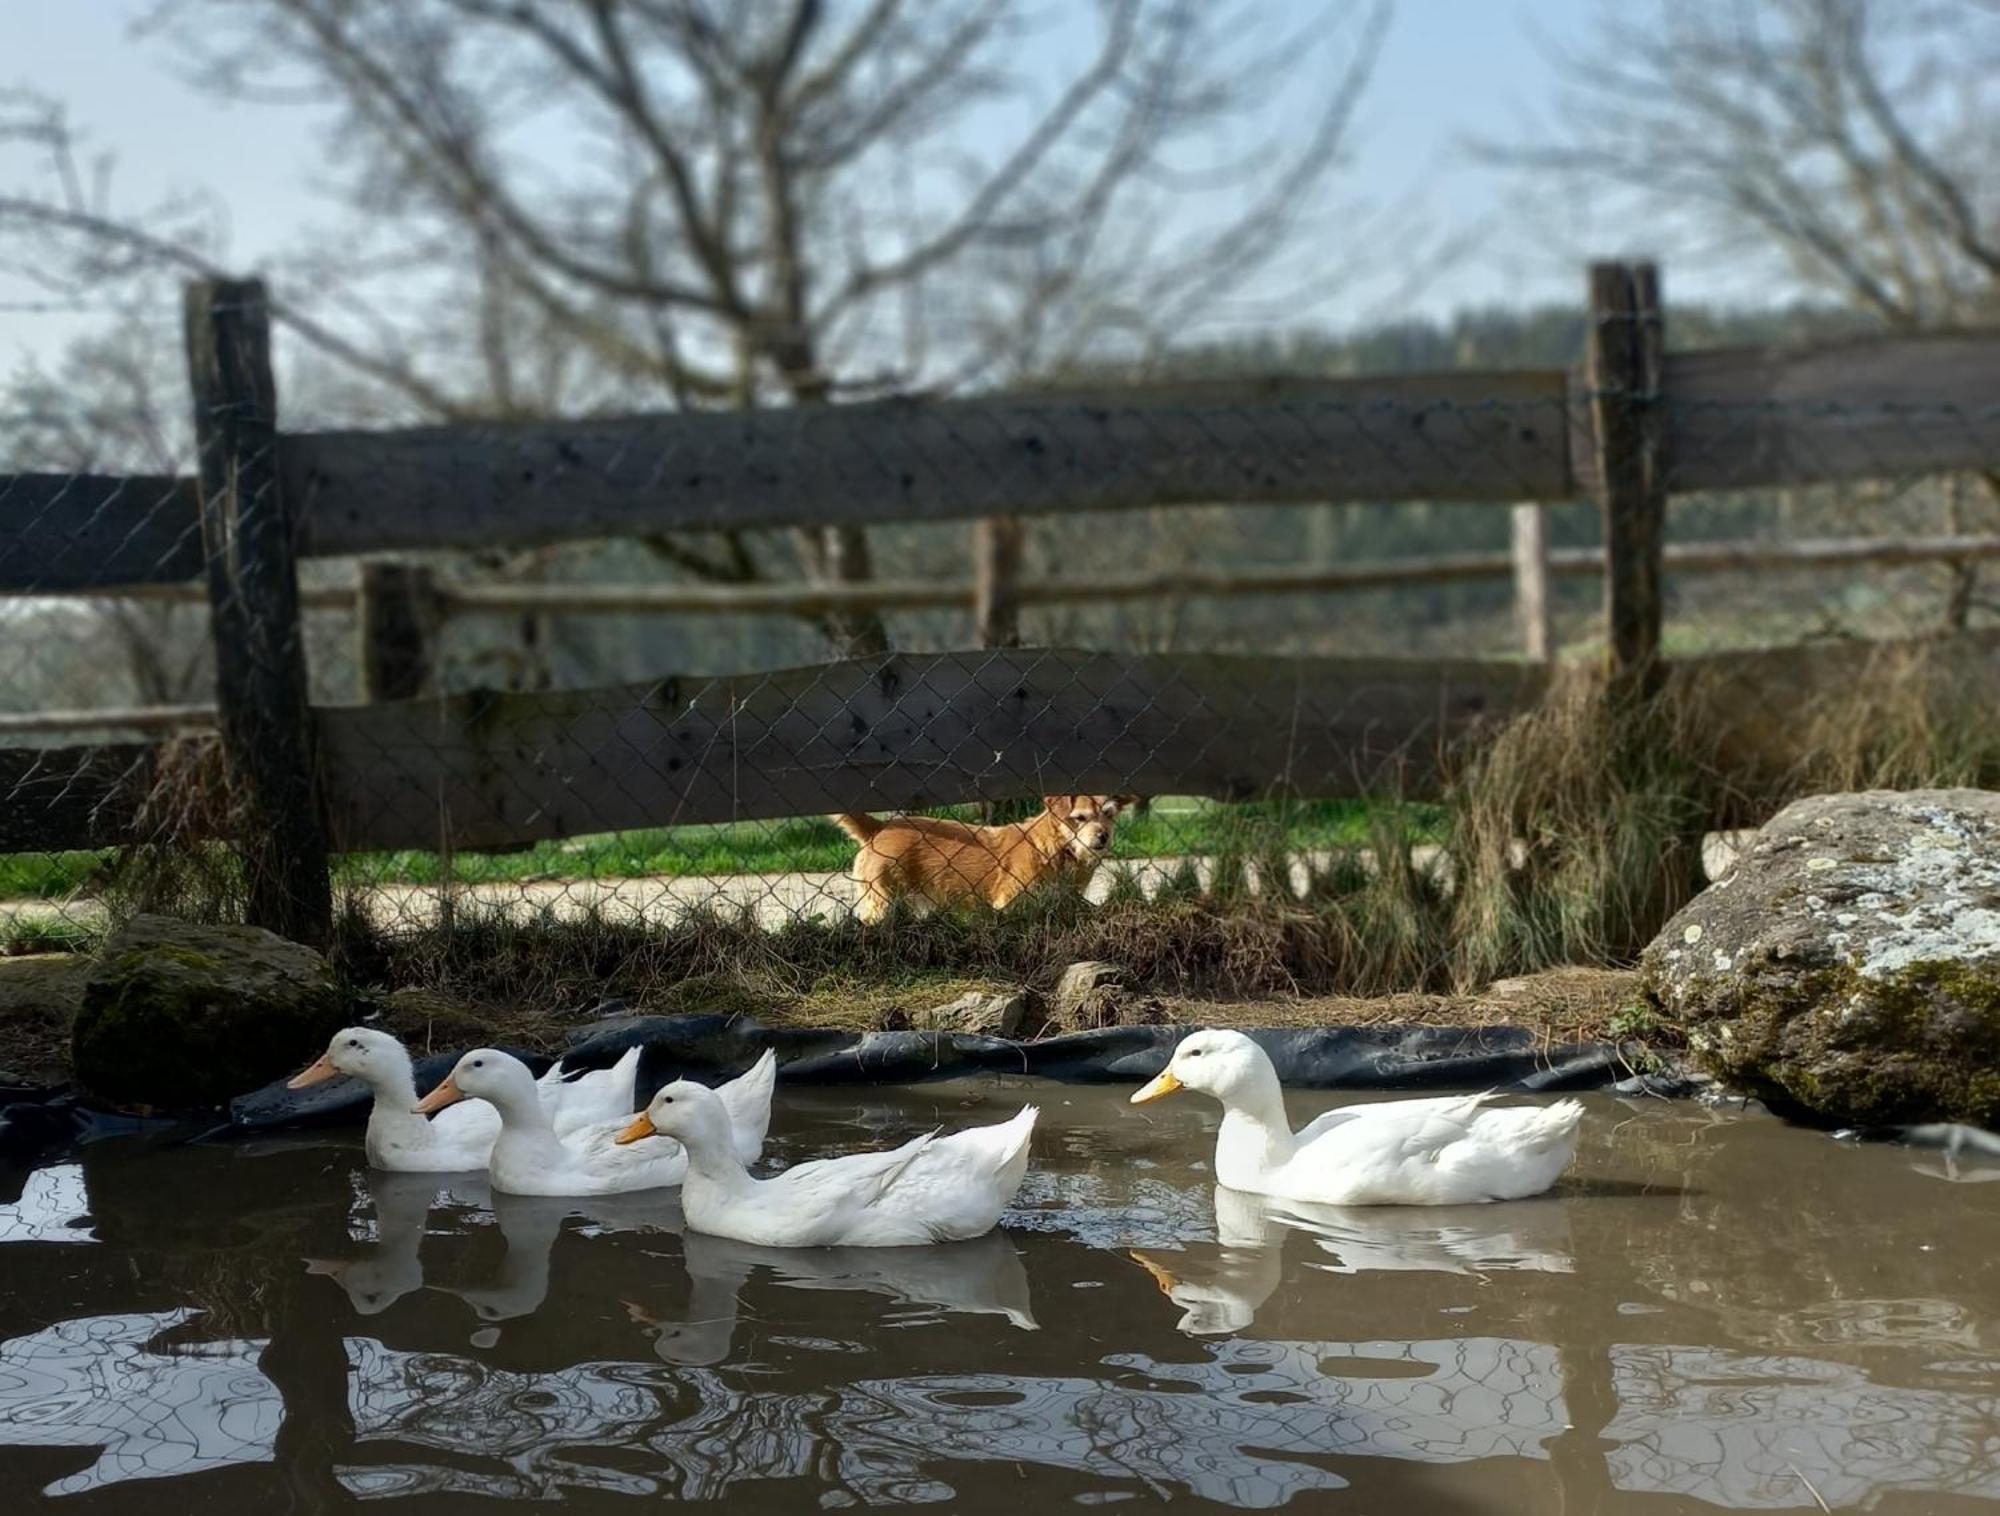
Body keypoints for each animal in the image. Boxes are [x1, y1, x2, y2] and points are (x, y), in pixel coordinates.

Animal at [828, 796, 1144, 928]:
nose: (1103, 836)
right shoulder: (1010, 904)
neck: (1058, 848)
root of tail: (879, 827)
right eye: (1079, 817)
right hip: (883, 901)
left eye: (1109, 814)